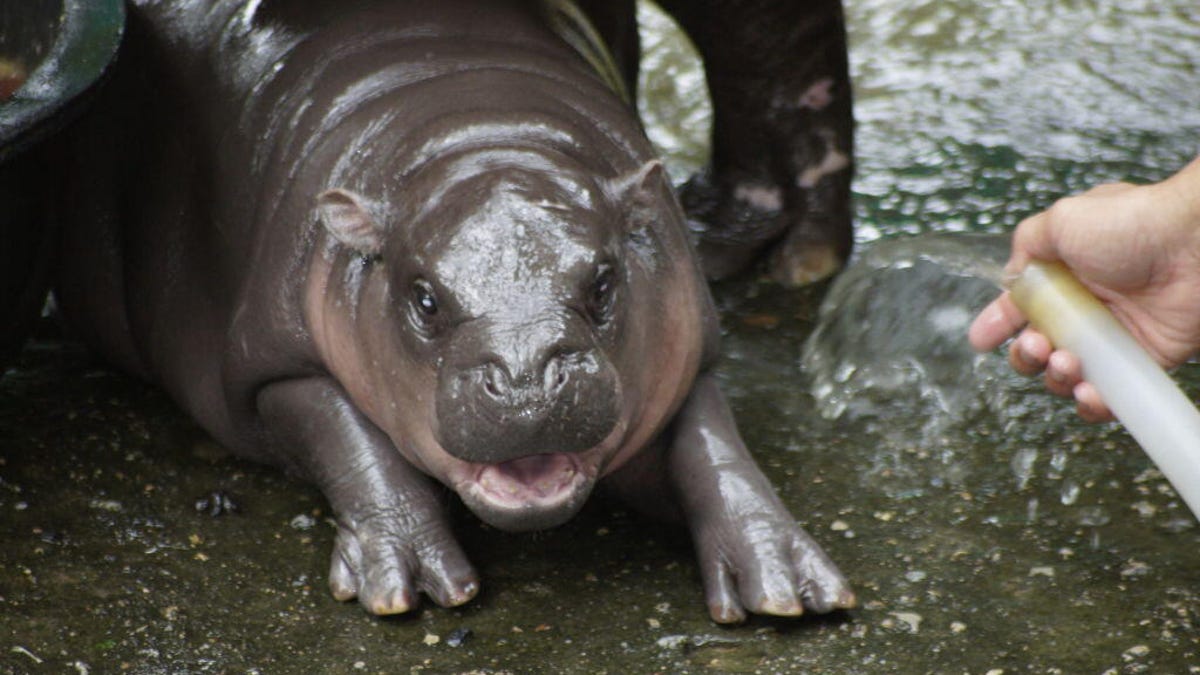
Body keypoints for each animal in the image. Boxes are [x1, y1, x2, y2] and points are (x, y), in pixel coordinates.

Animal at [50, 0, 855, 623]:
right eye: (425, 297)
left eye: (603, 282)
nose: (527, 378)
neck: (477, 130)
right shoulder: (271, 365)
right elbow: (348, 437)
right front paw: (410, 581)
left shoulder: (687, 346)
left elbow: (712, 444)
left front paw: (785, 581)